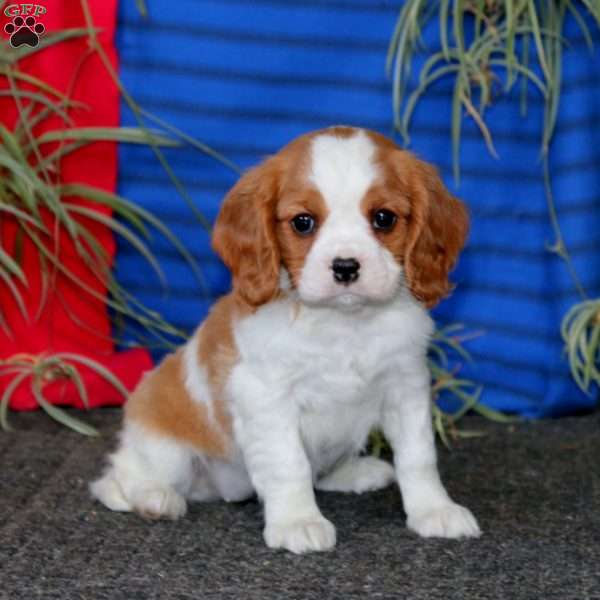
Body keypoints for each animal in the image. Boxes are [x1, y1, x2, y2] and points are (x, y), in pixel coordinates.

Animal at [91, 125, 480, 552]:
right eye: (303, 223)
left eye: (383, 218)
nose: (346, 267)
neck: (344, 323)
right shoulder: (266, 398)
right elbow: (288, 462)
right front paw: (298, 520)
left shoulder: (406, 386)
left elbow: (418, 456)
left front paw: (434, 510)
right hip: (165, 447)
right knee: (117, 478)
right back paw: (153, 497)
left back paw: (353, 472)